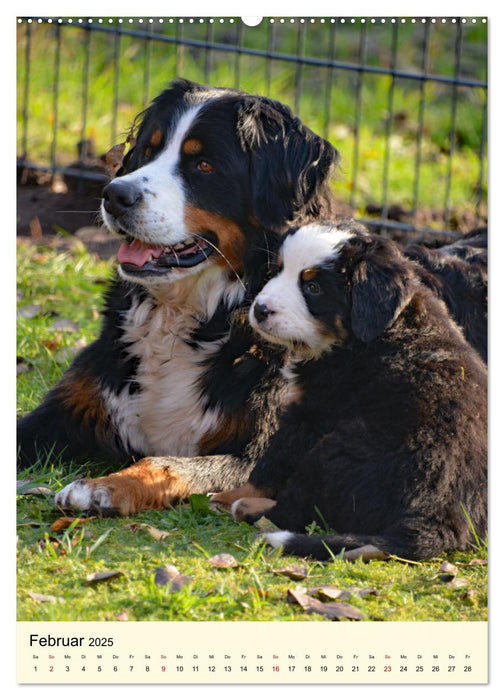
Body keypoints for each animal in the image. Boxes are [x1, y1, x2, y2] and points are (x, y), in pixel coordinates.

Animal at [16, 78, 338, 516]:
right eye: (148, 151)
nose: (114, 195)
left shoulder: (261, 453)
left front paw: (101, 487)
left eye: (204, 165)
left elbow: (166, 463)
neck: (185, 315)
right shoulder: (69, 406)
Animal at [210, 221, 488, 560]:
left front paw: (228, 495)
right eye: (277, 270)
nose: (261, 310)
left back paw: (245, 506)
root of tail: (435, 520)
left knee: (296, 508)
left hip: (335, 449)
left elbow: (269, 464)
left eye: (313, 288)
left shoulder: (312, 412)